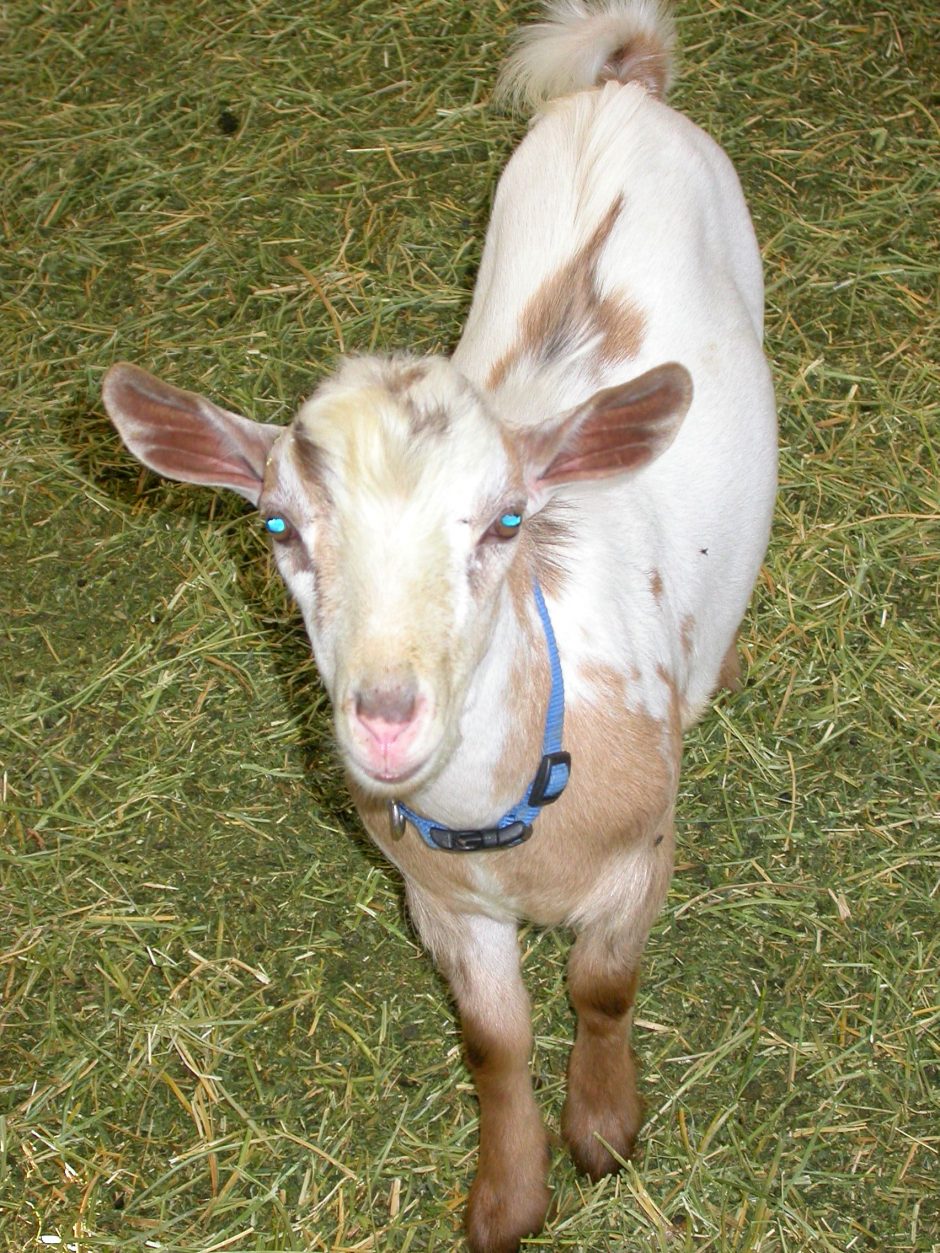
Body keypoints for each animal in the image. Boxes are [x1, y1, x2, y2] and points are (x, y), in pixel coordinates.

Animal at [101, 2, 776, 1249]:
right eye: (278, 524)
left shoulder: (643, 859)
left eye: (507, 520)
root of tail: (621, 90)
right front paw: (507, 1197)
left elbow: (602, 989)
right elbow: (494, 1039)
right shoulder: (440, 901)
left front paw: (604, 1130)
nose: (385, 716)